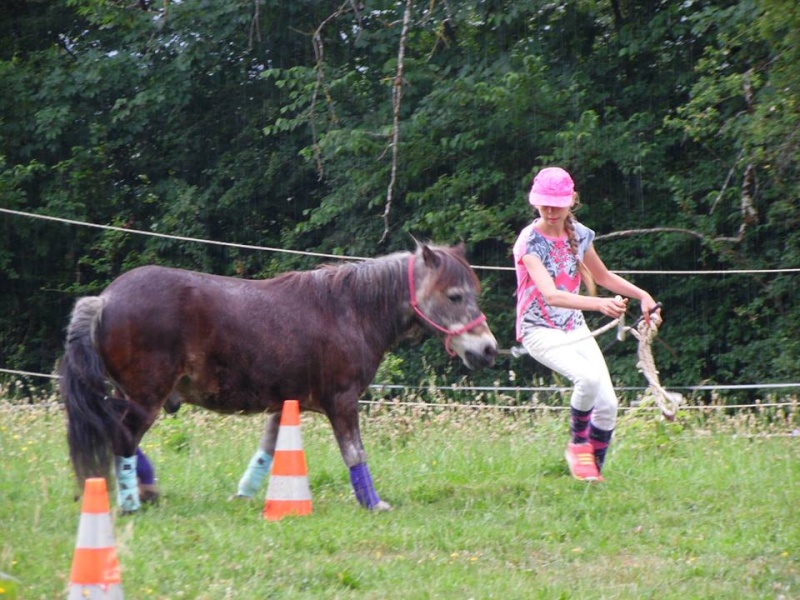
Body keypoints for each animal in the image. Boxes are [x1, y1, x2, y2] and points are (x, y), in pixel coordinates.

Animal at [62, 243, 496, 510]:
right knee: (122, 437)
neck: (349, 310)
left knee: (118, 433)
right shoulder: (342, 400)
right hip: (145, 398)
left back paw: (144, 491)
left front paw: (244, 496)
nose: (489, 349)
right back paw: (131, 502)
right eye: (454, 296)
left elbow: (266, 452)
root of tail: (104, 300)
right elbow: (355, 452)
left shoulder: (285, 404)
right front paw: (373, 504)